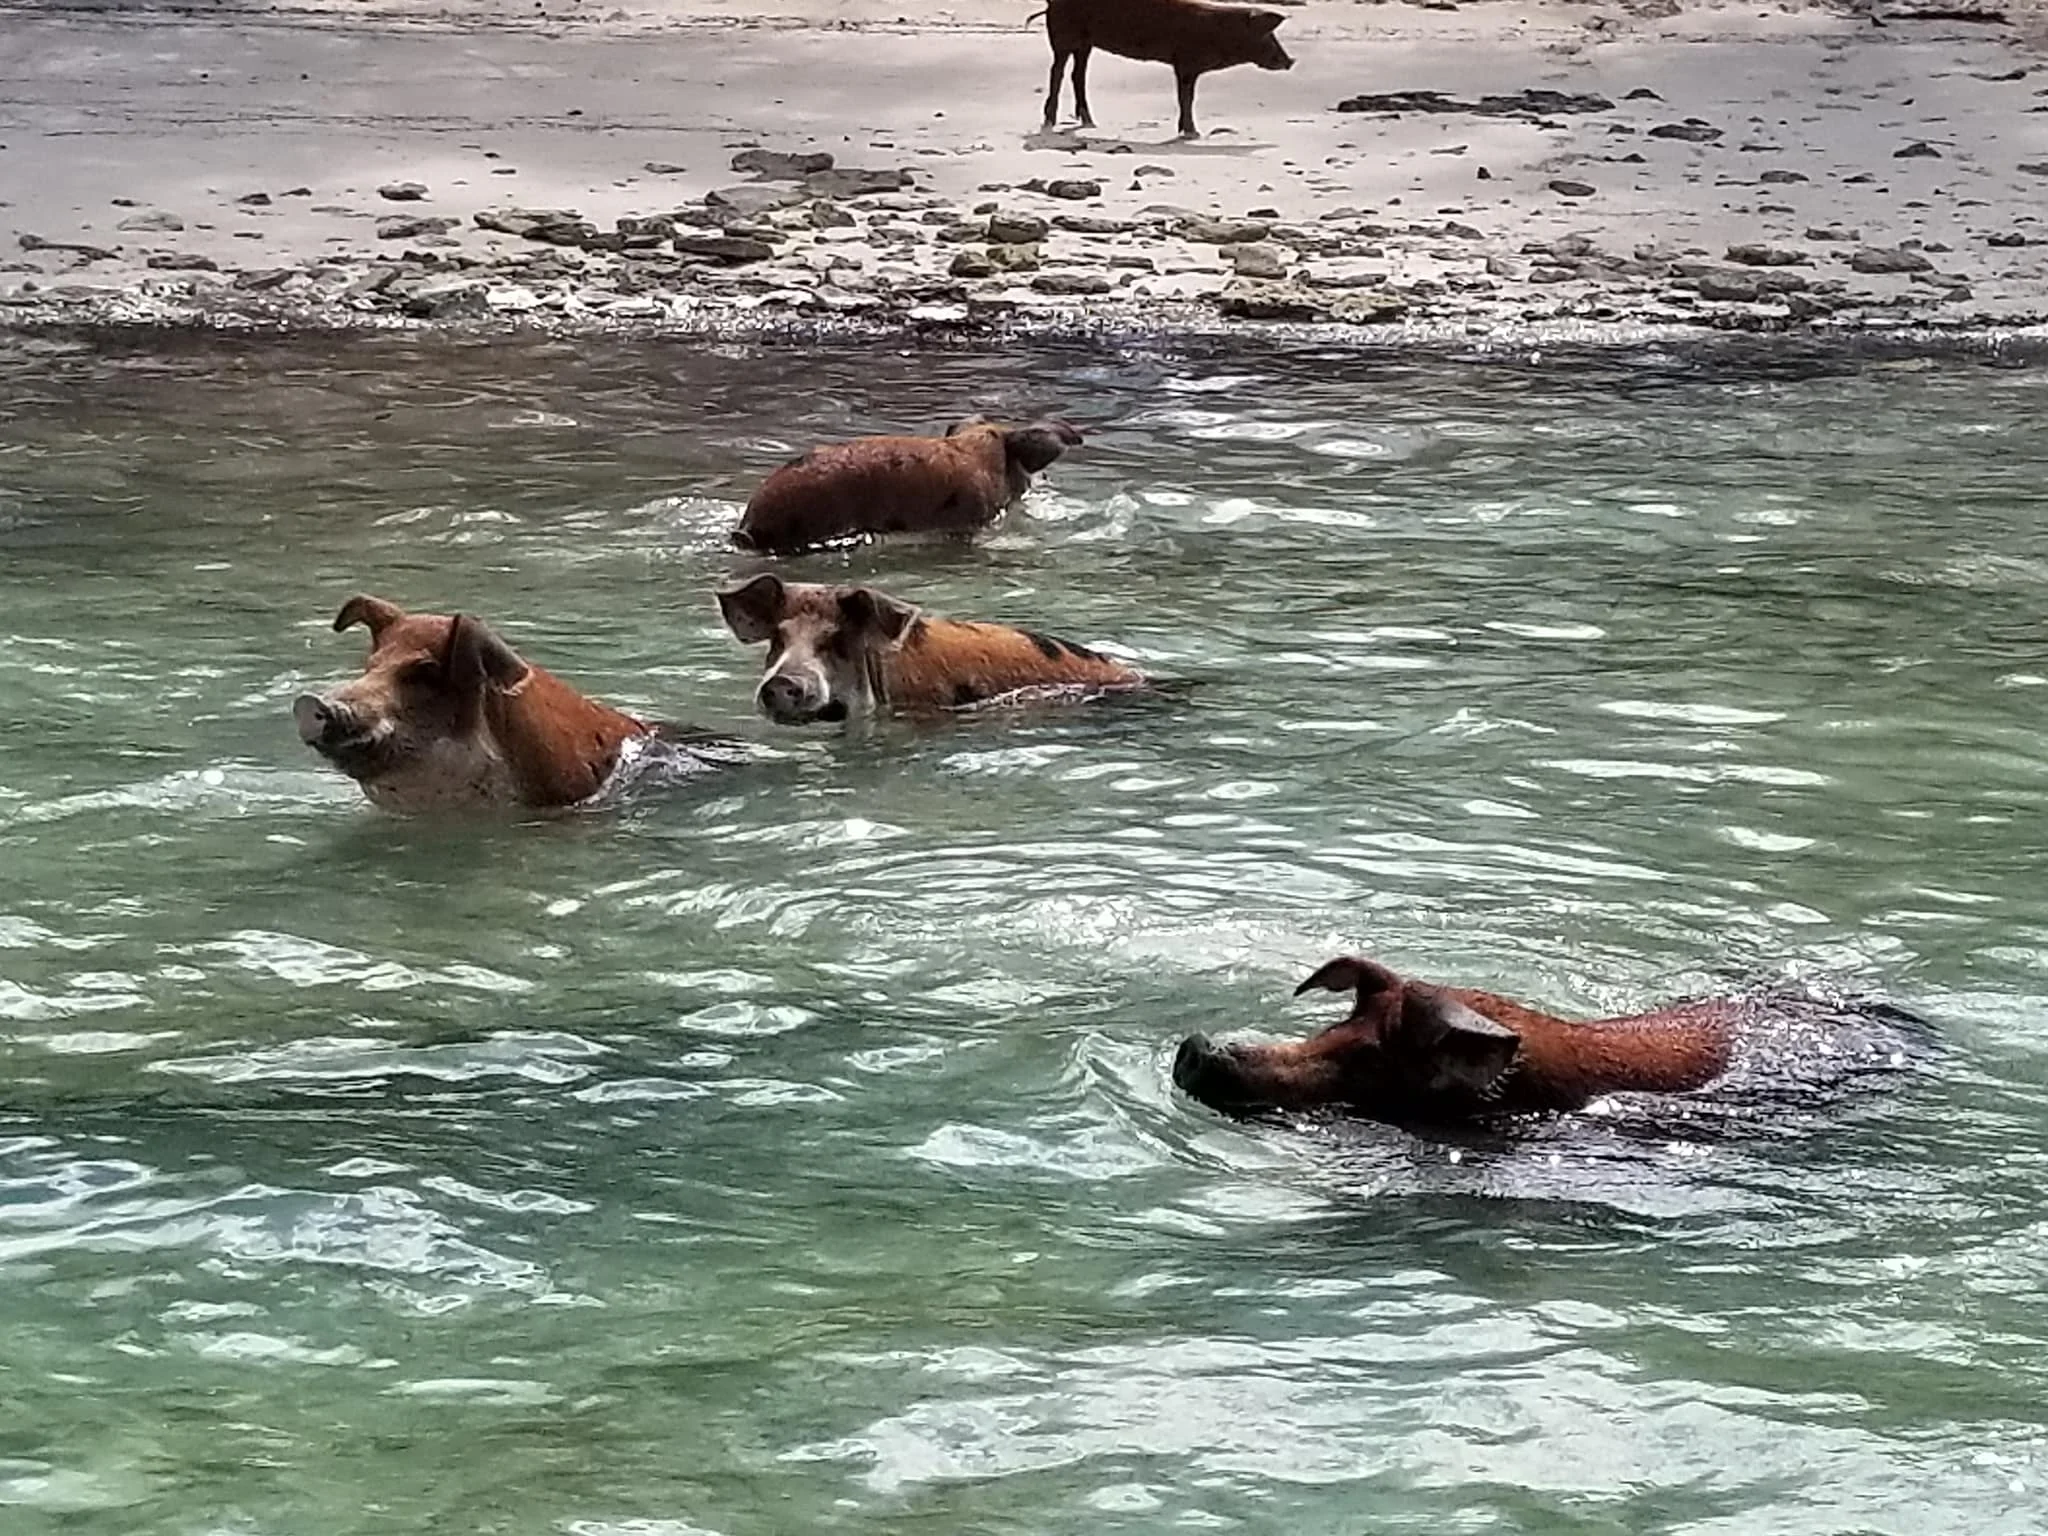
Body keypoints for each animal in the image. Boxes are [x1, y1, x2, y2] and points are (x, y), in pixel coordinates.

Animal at [1038, 0, 1294, 140]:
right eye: (1268, 35)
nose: (1290, 61)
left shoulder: (1186, 67)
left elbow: (1187, 98)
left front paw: (1189, 131)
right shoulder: (1185, 64)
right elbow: (1186, 98)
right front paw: (1193, 133)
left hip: (1085, 44)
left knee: (1078, 75)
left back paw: (1090, 122)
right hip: (1062, 37)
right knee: (1057, 72)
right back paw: (1049, 122)